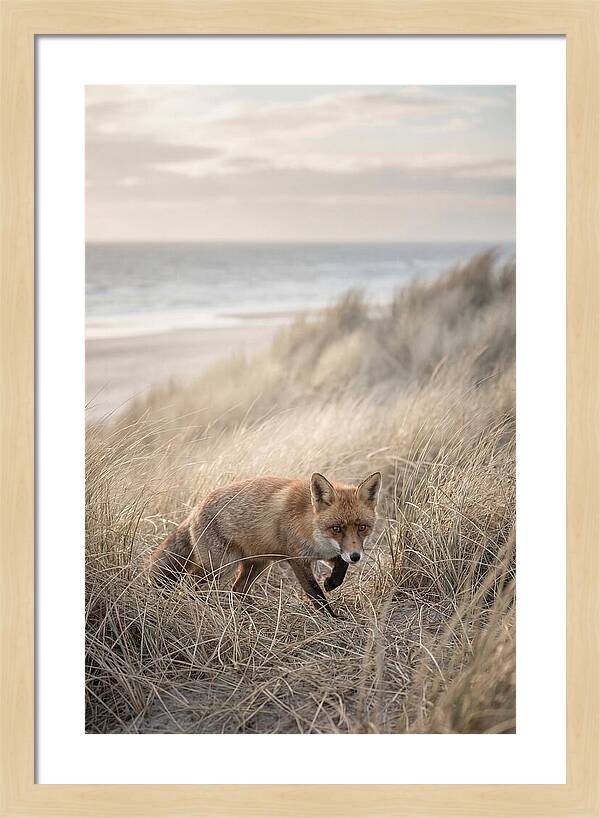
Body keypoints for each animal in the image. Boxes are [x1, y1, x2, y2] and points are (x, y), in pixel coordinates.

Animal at [148, 471, 382, 617]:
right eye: (337, 528)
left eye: (362, 527)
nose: (356, 557)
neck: (311, 525)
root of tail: (195, 509)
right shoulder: (297, 559)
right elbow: (315, 593)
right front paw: (332, 618)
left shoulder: (329, 553)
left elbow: (340, 567)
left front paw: (332, 582)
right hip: (221, 566)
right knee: (192, 584)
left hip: (257, 563)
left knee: (237, 589)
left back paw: (251, 612)